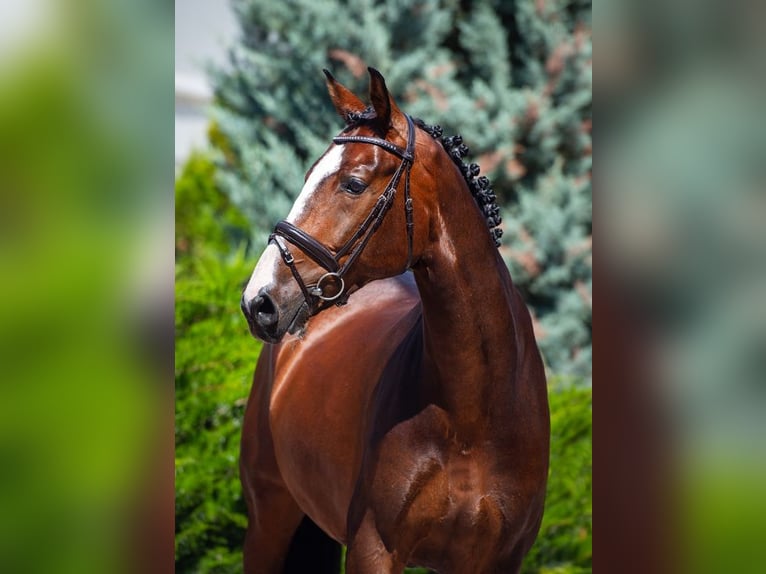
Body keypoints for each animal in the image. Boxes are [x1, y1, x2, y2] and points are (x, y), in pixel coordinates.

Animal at [240, 68, 550, 574]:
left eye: (353, 184)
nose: (259, 301)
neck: (474, 413)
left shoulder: (495, 562)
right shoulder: (374, 549)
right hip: (269, 517)